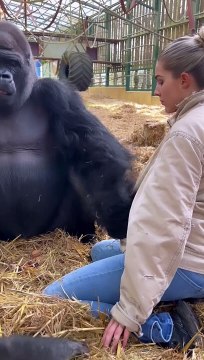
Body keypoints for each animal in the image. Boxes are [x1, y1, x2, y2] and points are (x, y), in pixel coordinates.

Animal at [0, 21, 135, 242]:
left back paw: (84, 233)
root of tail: (25, 237)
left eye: (12, 64)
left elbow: (93, 151)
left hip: (57, 227)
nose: (3, 76)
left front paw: (119, 214)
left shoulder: (56, 93)